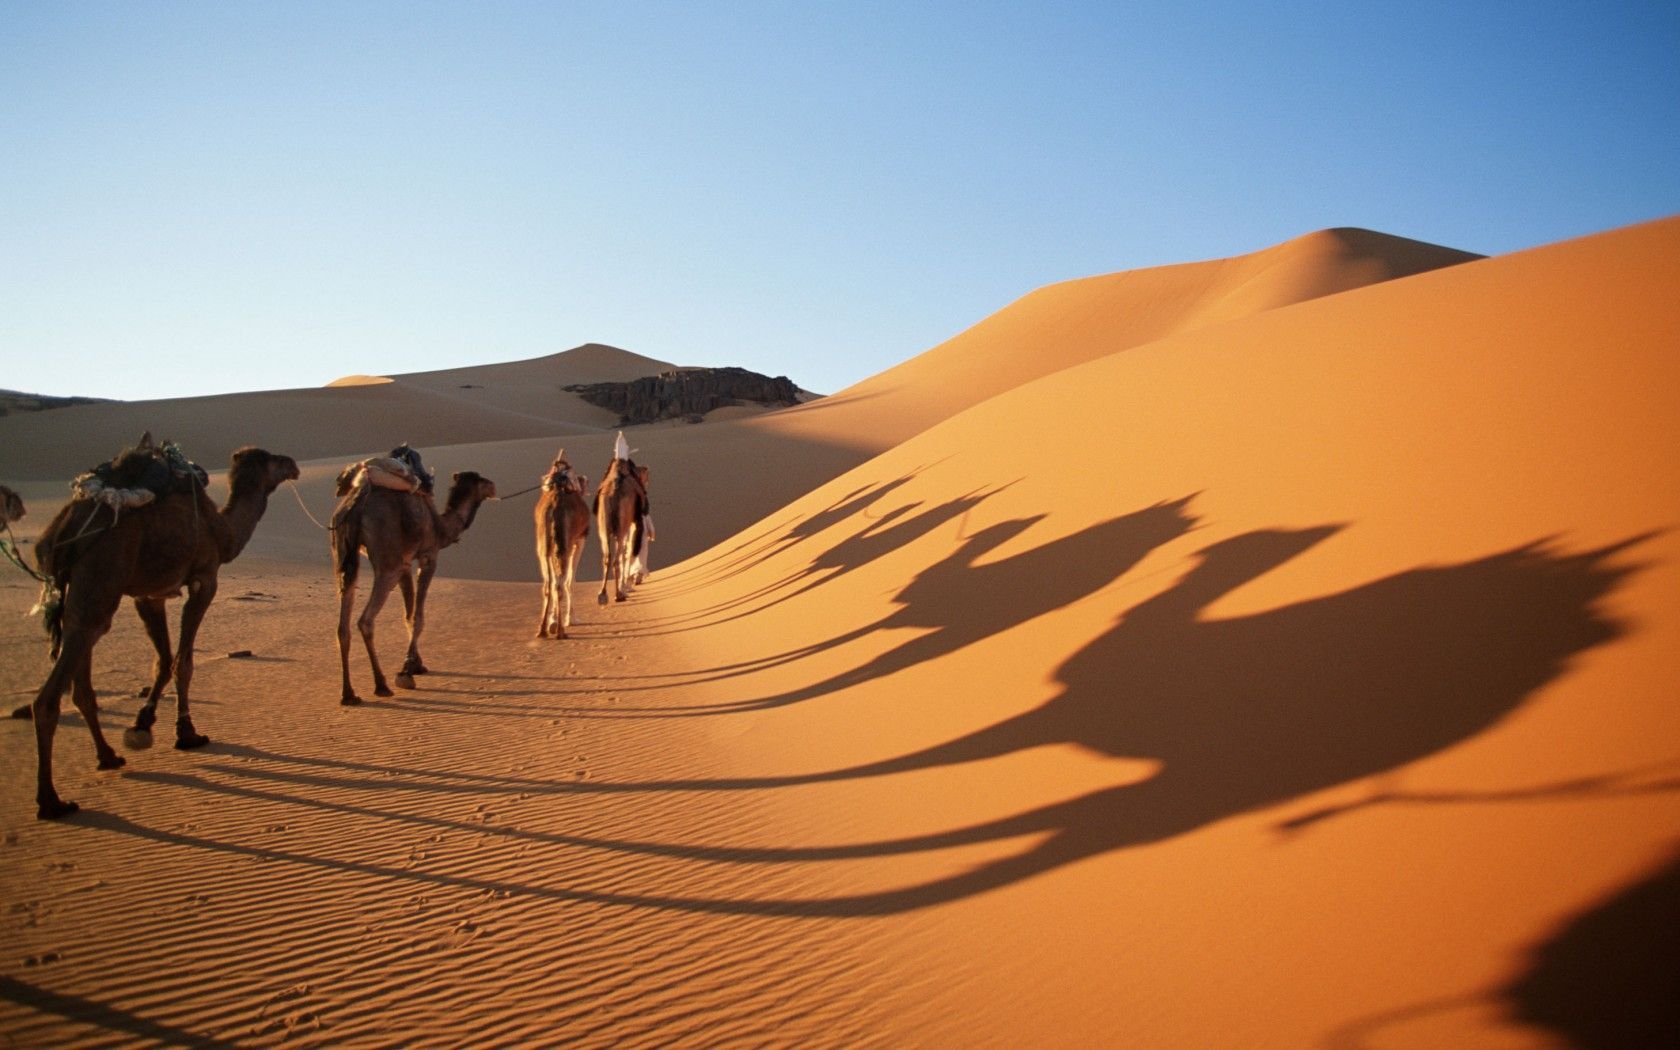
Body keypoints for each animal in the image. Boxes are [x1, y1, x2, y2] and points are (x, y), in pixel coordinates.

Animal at [25, 436, 299, 816]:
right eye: (272, 459)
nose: (293, 464)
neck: (223, 532)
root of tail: (66, 529)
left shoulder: (149, 595)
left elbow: (163, 660)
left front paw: (143, 723)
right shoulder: (204, 579)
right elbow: (183, 662)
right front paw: (187, 733)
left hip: (82, 594)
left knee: (81, 672)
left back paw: (108, 756)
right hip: (101, 577)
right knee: (52, 693)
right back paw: (52, 800)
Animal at [330, 460, 493, 698]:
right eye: (481, 480)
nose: (493, 486)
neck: (440, 526)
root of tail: (357, 503)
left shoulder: (406, 563)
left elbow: (407, 614)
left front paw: (417, 663)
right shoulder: (428, 557)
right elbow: (417, 617)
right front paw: (407, 670)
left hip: (343, 553)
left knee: (343, 624)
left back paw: (349, 694)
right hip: (388, 563)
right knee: (365, 620)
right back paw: (381, 685)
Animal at [537, 446, 598, 635]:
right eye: (577, 478)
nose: (586, 479)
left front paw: (553, 620)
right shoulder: (579, 540)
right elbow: (570, 580)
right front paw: (571, 619)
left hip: (544, 545)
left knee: (548, 584)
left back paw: (543, 629)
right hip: (565, 542)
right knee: (559, 583)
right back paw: (560, 631)